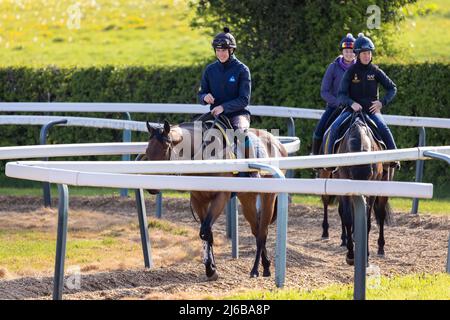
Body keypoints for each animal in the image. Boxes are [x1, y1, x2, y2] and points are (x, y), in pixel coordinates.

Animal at [144, 118, 288, 280]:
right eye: (147, 151)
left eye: (164, 150)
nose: (151, 187)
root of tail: (278, 143)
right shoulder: (198, 200)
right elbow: (206, 233)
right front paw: (211, 268)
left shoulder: (220, 197)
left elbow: (205, 230)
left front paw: (210, 268)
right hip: (247, 200)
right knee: (256, 230)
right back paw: (266, 266)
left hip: (268, 197)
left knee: (262, 232)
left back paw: (255, 270)